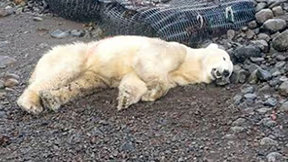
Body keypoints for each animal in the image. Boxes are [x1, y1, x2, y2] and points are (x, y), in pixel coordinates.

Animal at [16, 35, 233, 114]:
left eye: (230, 72)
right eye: (224, 58)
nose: (225, 73)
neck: (189, 63)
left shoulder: (175, 76)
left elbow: (134, 80)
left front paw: (127, 98)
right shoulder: (172, 50)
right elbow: (147, 63)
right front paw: (153, 92)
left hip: (92, 75)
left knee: (82, 85)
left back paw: (51, 99)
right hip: (78, 56)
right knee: (60, 73)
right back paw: (30, 104)